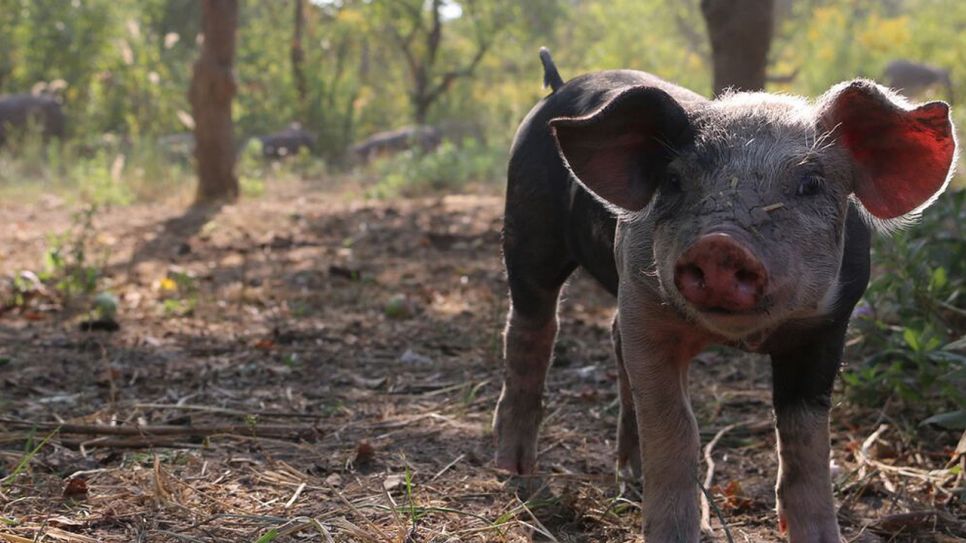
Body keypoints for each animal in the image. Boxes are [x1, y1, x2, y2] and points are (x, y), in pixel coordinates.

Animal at [500, 49, 960, 540]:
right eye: (675, 182)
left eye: (811, 184)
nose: (720, 244)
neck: (742, 338)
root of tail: (558, 86)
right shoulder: (646, 311)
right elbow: (675, 429)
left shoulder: (827, 328)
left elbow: (806, 443)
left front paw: (817, 534)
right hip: (526, 228)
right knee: (531, 327)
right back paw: (516, 471)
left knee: (611, 340)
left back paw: (627, 479)